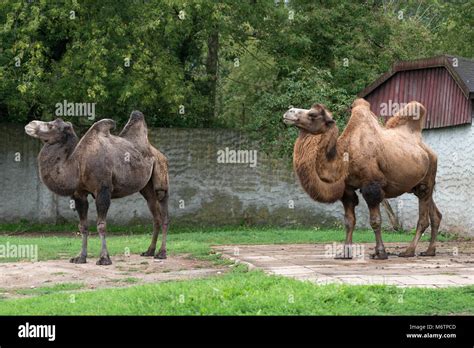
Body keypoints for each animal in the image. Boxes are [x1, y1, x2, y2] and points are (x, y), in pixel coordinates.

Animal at [24, 113, 168, 266]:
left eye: (51, 125)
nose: (30, 124)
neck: (77, 165)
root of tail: (158, 153)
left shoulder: (103, 190)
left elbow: (101, 225)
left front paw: (104, 258)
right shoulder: (79, 194)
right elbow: (83, 226)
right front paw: (80, 257)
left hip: (161, 173)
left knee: (163, 207)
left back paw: (162, 253)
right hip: (146, 187)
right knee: (154, 212)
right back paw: (149, 251)